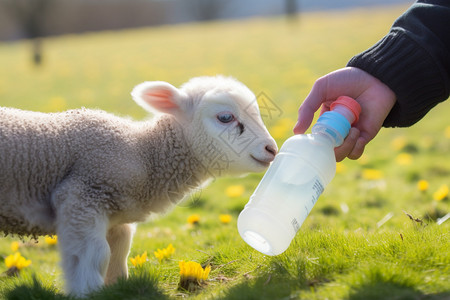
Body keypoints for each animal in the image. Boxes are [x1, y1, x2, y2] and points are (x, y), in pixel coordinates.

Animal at [0, 76, 278, 296]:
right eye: (225, 117)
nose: (271, 149)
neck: (144, 153)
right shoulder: (82, 195)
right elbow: (94, 254)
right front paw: (87, 292)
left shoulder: (115, 218)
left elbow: (119, 251)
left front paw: (116, 288)